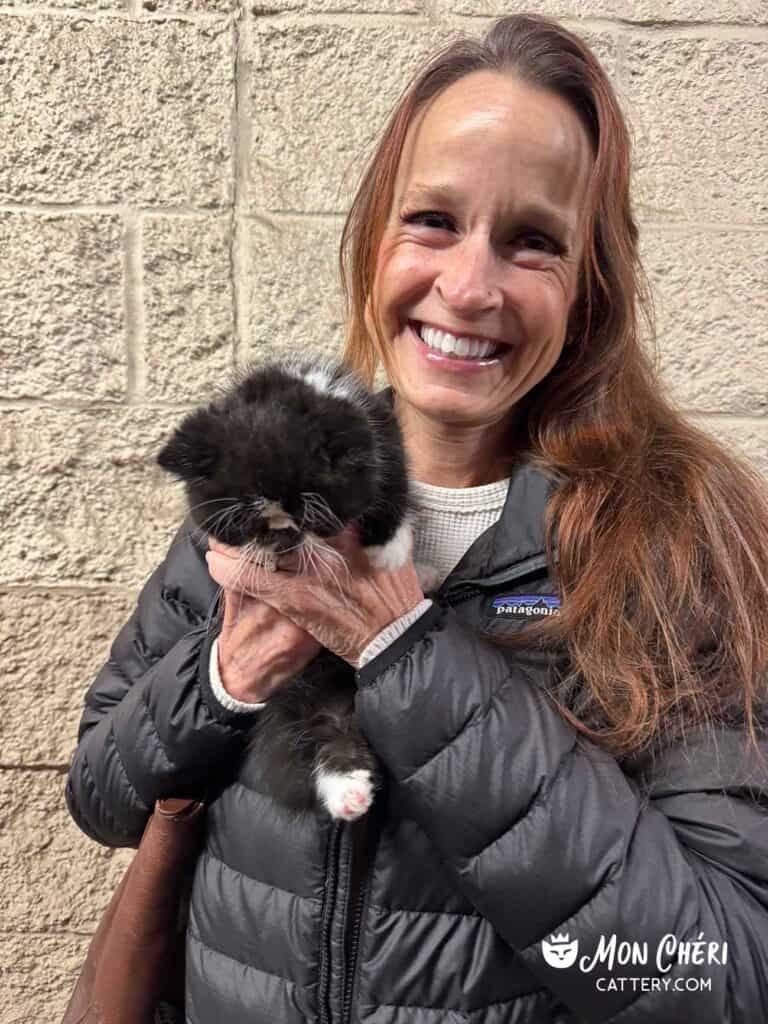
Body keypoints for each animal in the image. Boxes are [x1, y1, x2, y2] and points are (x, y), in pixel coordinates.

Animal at [156, 360, 434, 823]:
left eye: (309, 512)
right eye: (247, 522)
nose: (283, 538)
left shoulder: (380, 428)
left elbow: (393, 476)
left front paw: (389, 549)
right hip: (297, 692)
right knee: (316, 728)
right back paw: (346, 792)